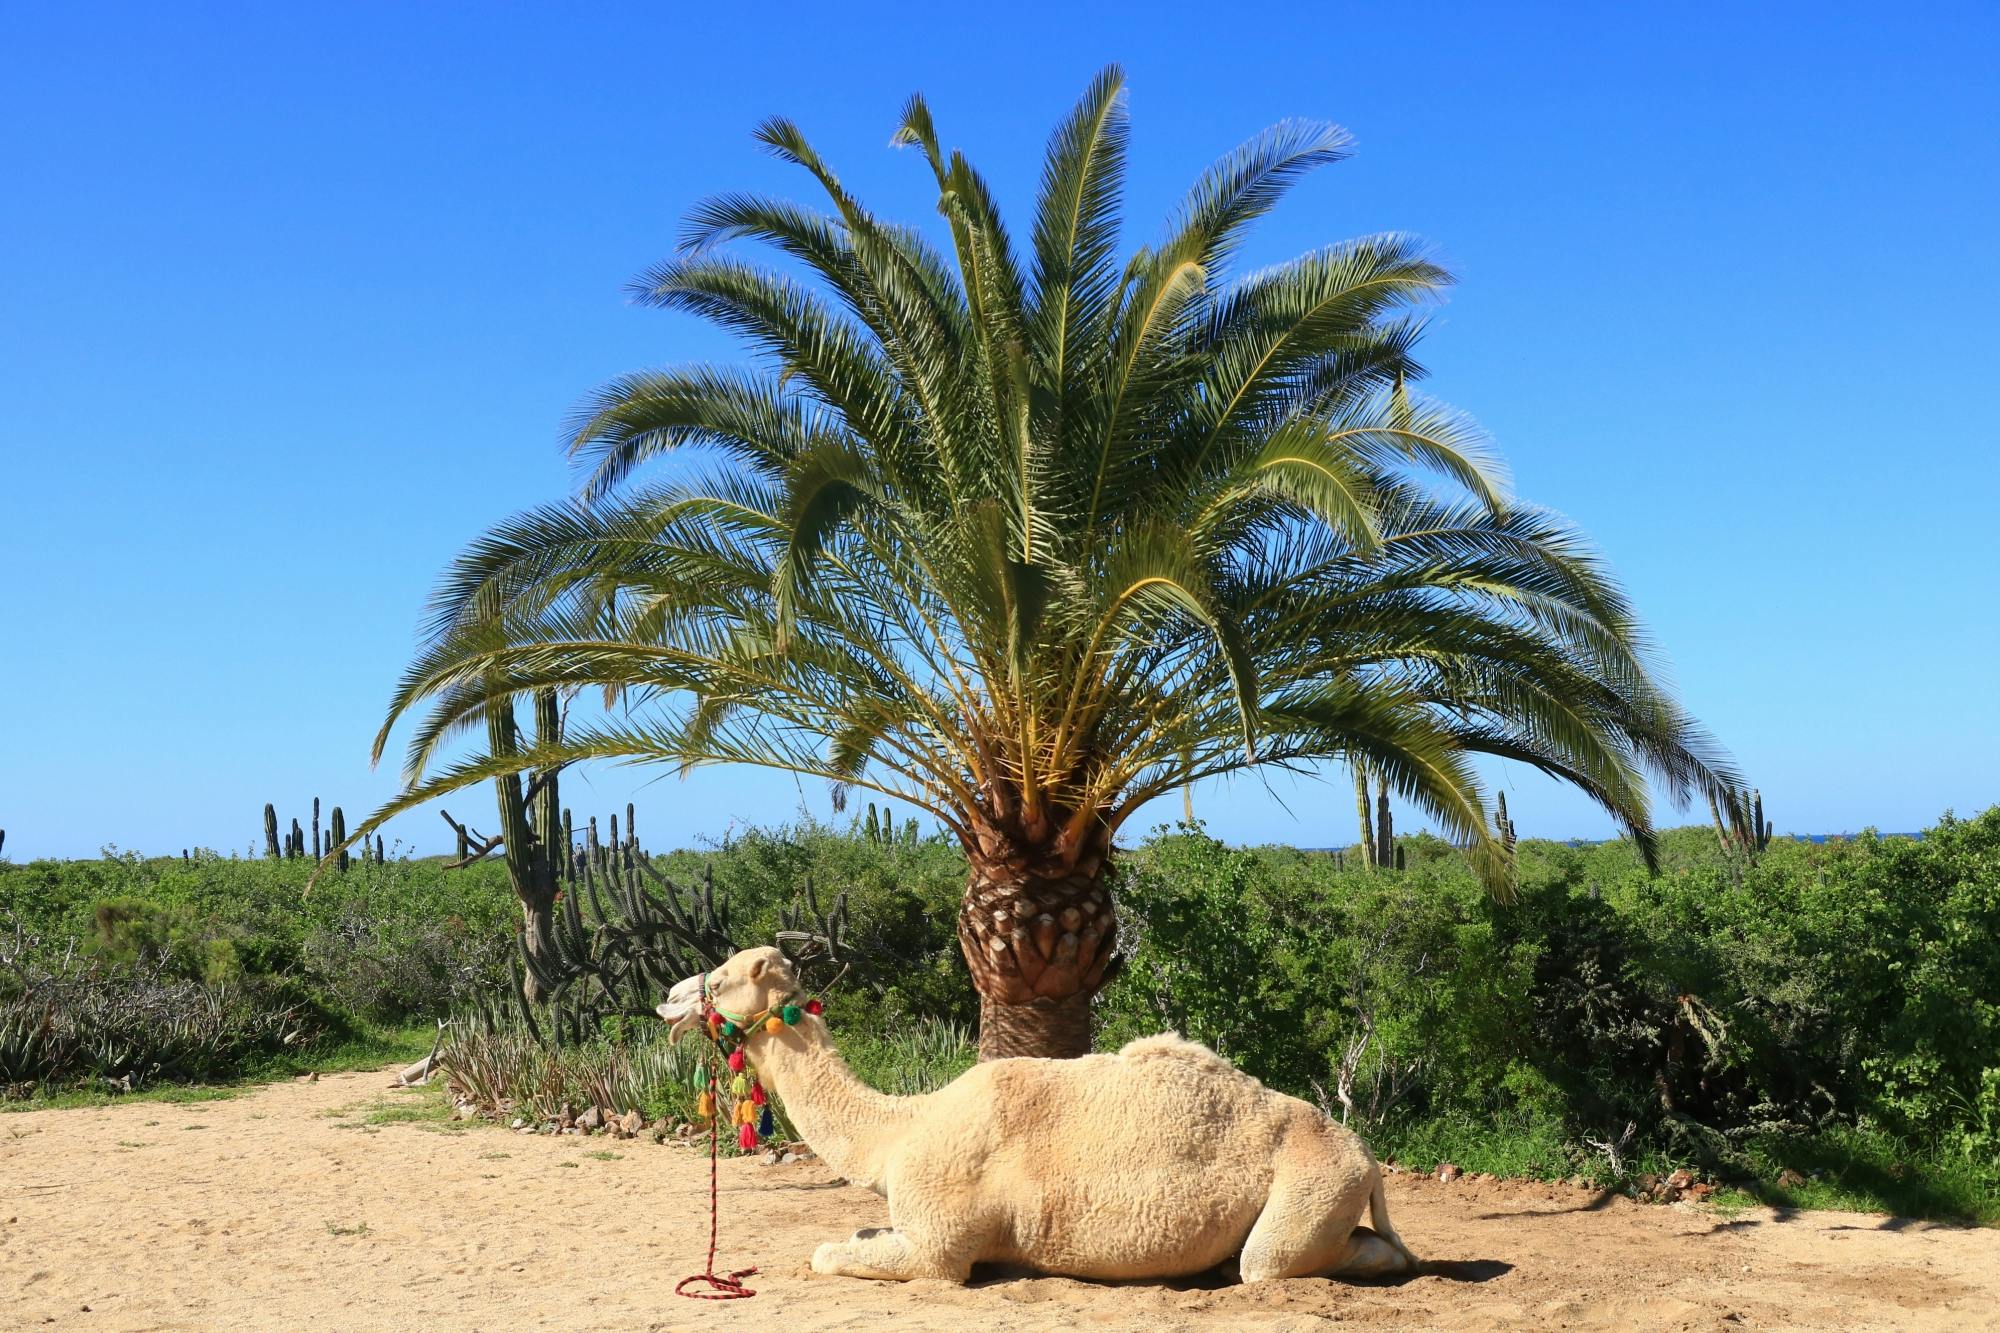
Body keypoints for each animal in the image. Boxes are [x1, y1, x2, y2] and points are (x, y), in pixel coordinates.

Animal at [656, 946, 1418, 1284]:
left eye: (719, 979)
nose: (668, 1000)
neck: (901, 1131)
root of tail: (1363, 1154)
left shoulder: (941, 1246)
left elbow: (827, 1253)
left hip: (1308, 1188)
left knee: (1274, 1261)